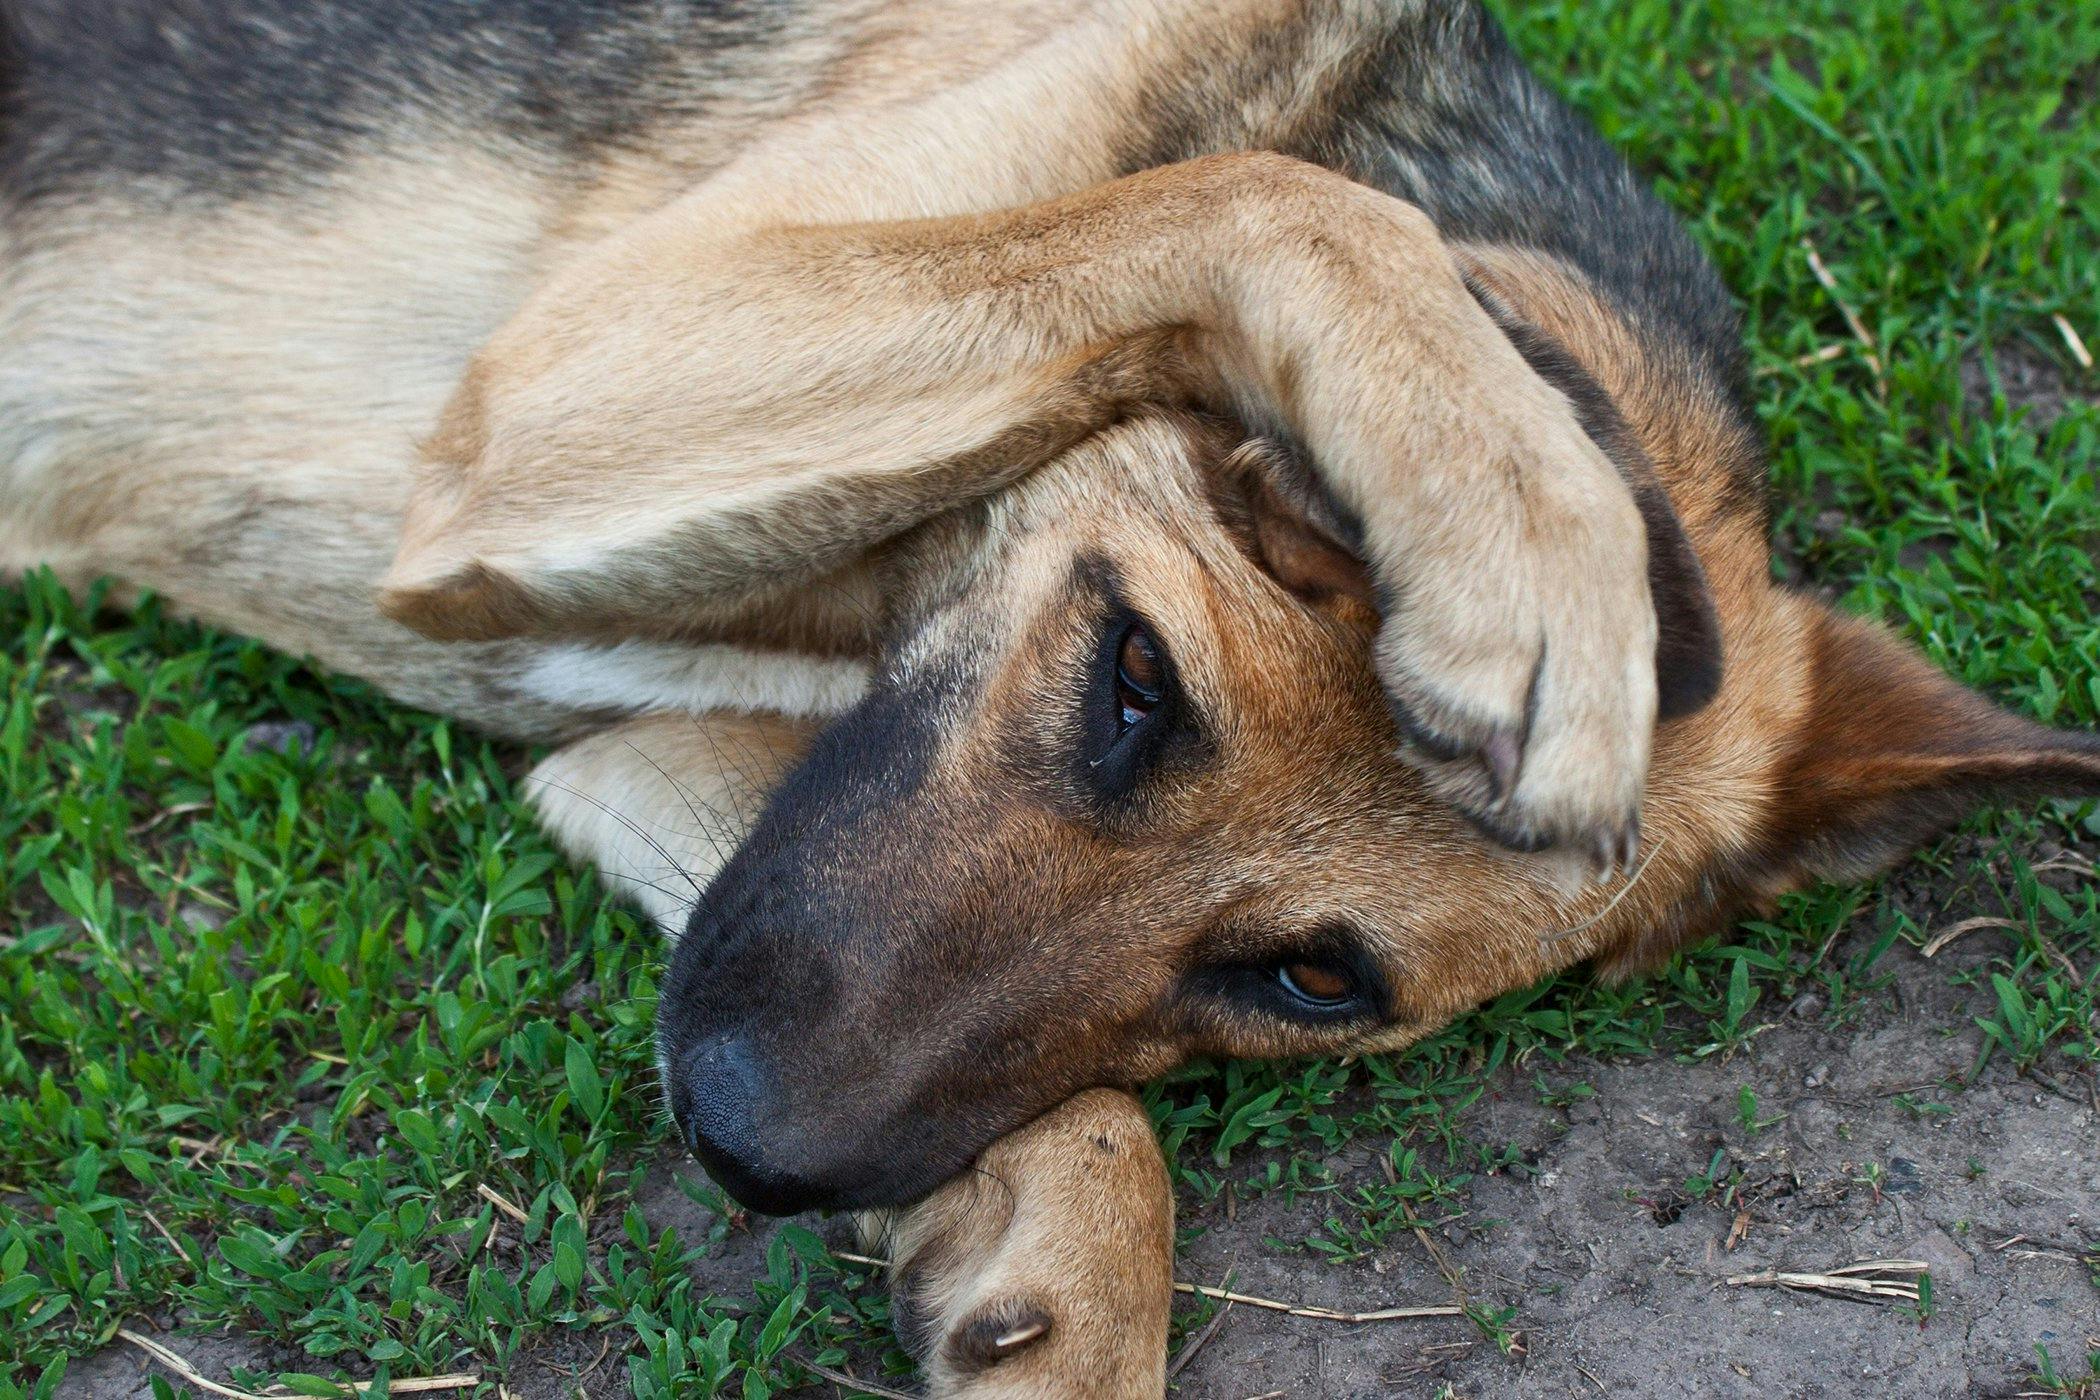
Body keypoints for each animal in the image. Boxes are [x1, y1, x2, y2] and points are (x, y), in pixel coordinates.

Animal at [4, 0, 2100, 1393]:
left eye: (1310, 979)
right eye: (1137, 679)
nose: (738, 1141)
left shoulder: (666, 755)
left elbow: (1080, 1108)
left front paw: (1061, 1262)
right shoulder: (569, 376)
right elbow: (1278, 204)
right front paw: (1519, 521)